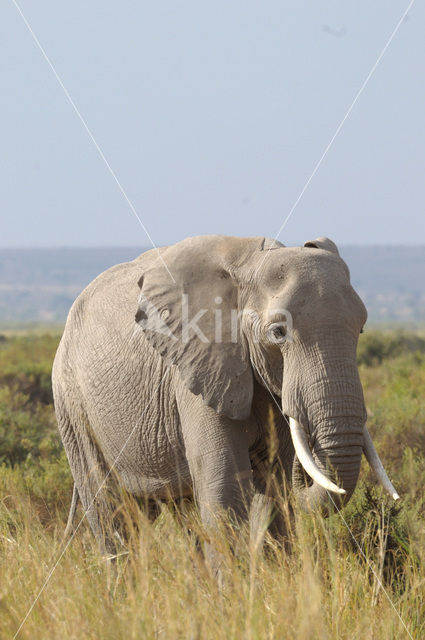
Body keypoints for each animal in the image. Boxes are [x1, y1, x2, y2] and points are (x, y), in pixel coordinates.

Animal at [53, 236, 398, 560]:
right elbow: (224, 484)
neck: (253, 266)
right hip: (71, 401)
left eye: (361, 329)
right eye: (278, 333)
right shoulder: (199, 364)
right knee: (110, 508)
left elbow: (273, 486)